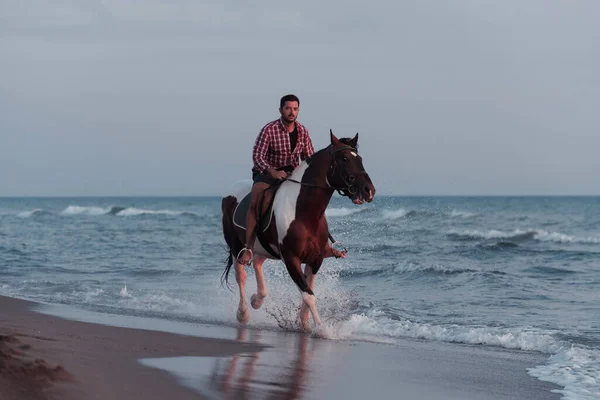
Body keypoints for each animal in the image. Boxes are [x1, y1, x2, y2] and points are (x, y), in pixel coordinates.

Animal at [219, 130, 376, 332]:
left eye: (360, 158)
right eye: (344, 159)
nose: (368, 190)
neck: (303, 213)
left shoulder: (315, 259)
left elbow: (309, 292)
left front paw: (304, 323)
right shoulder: (291, 259)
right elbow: (308, 295)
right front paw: (322, 329)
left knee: (258, 262)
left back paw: (257, 300)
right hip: (236, 246)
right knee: (241, 275)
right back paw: (243, 313)